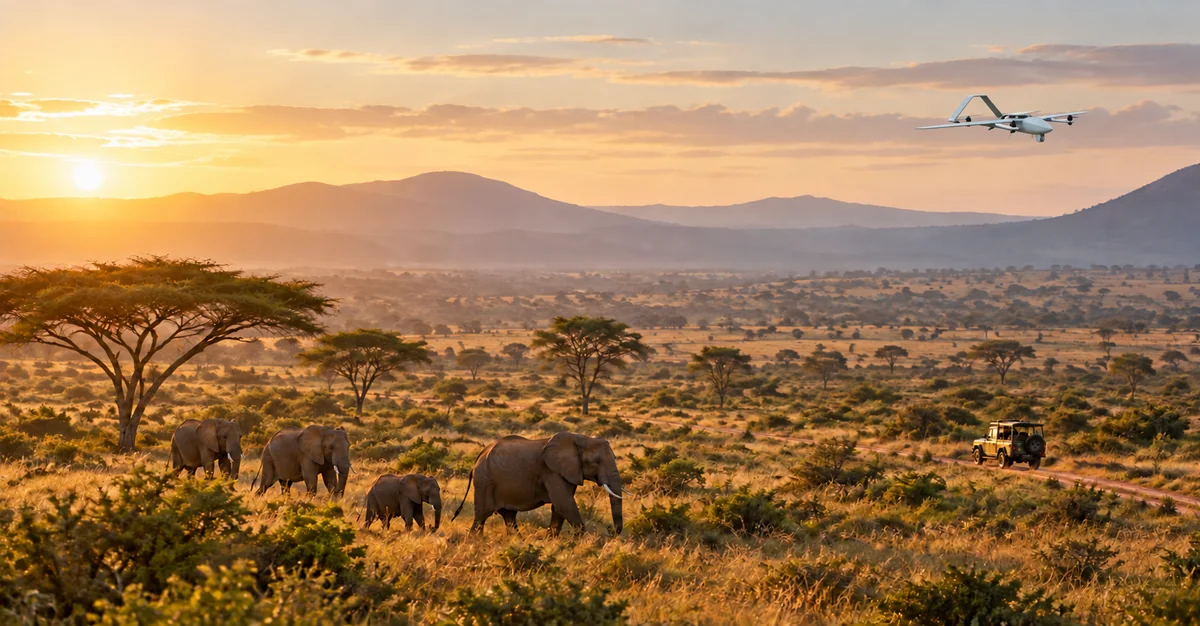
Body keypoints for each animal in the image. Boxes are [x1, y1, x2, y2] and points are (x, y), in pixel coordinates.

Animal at [451, 432, 625, 535]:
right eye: (597, 462)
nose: (611, 530)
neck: (581, 438)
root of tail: (479, 457)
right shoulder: (551, 471)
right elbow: (564, 504)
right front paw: (583, 541)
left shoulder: (568, 472)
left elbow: (559, 507)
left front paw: (551, 541)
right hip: (485, 481)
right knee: (482, 515)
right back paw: (476, 541)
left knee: (508, 515)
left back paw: (517, 541)